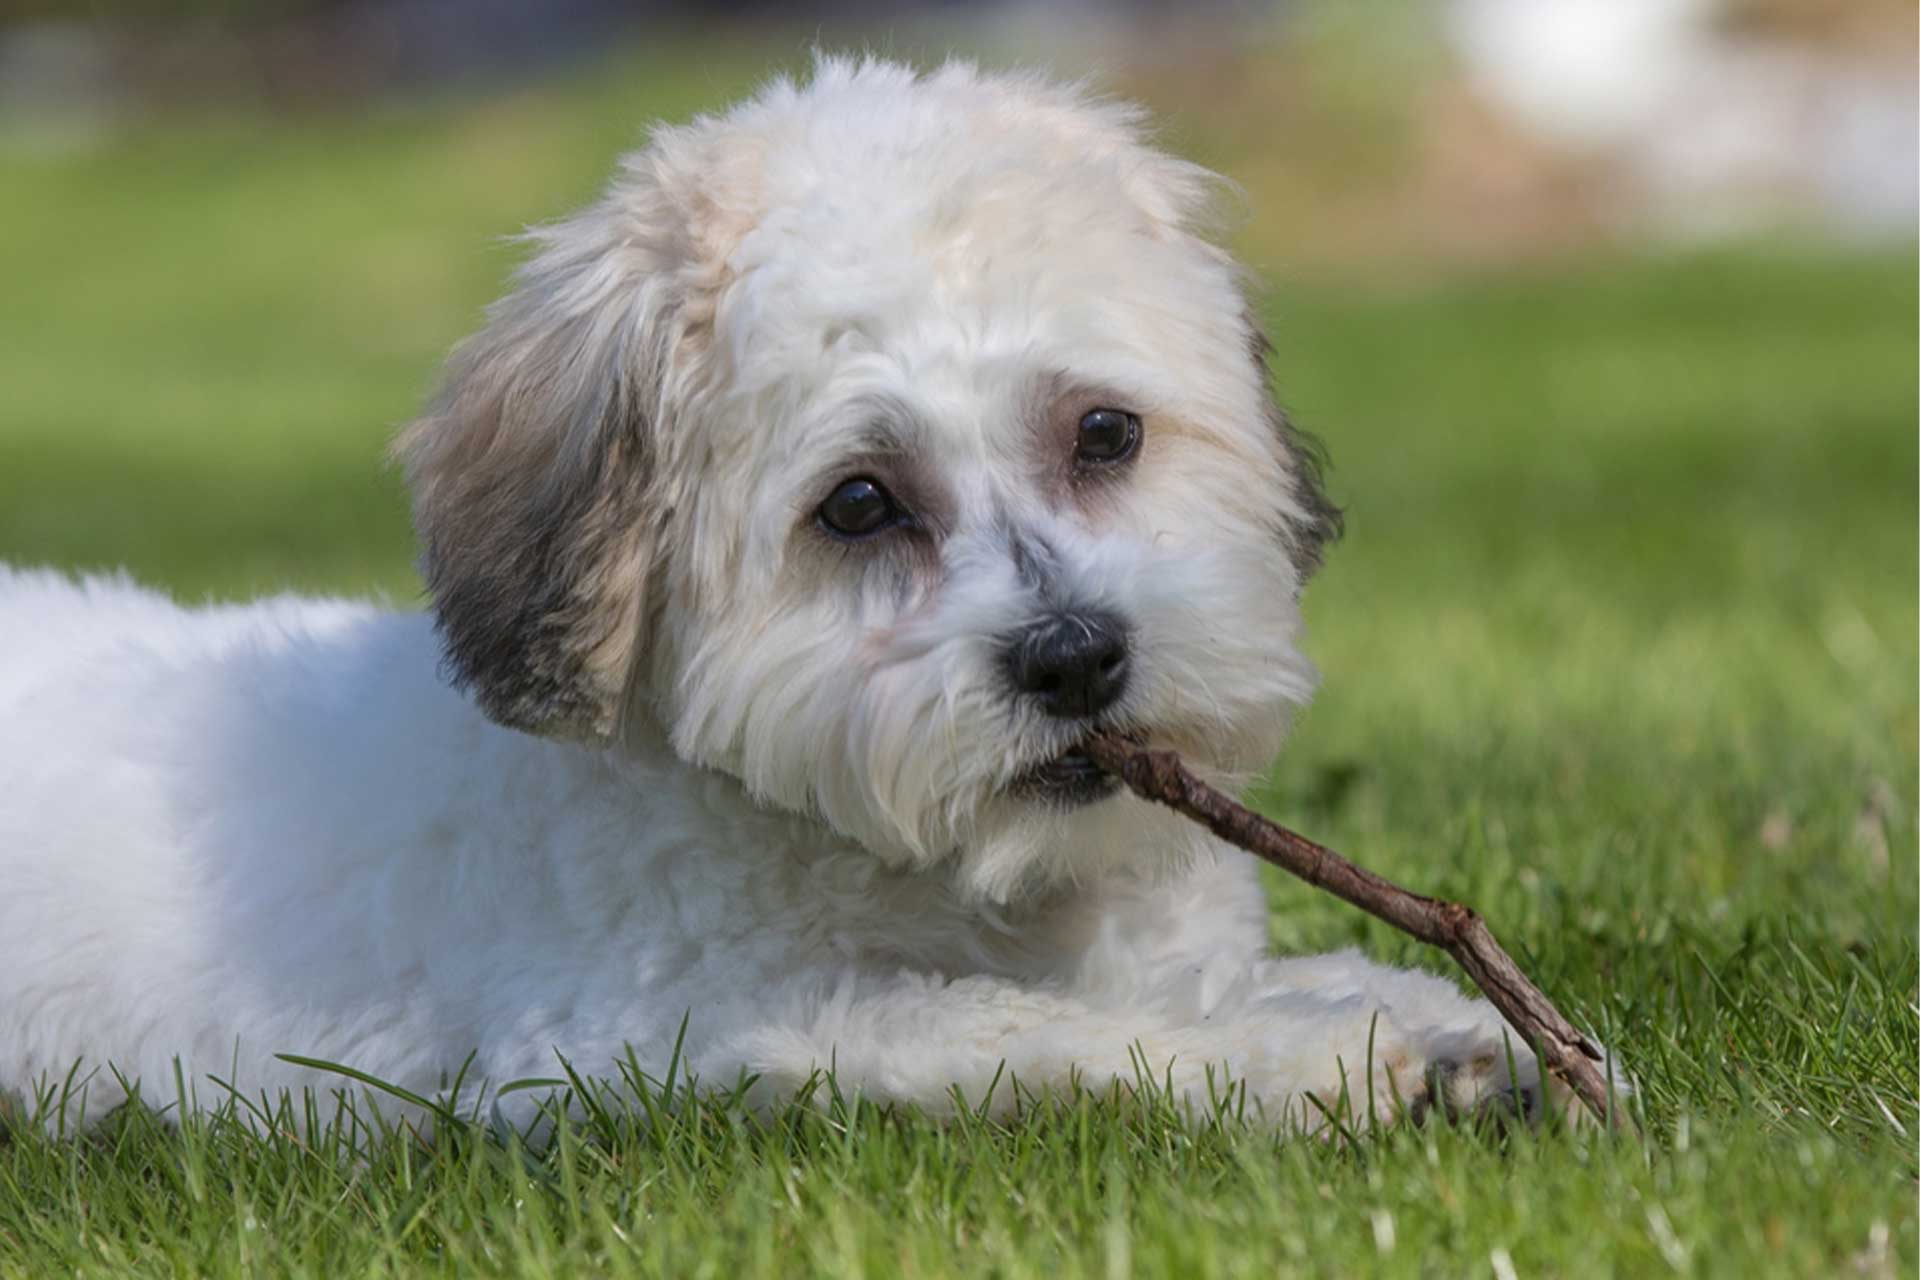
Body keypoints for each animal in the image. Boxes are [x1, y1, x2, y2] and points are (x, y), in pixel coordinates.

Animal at [0, 57, 1597, 1128]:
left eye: (1104, 432)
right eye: (861, 504)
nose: (1076, 657)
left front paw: (1431, 1015)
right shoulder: (668, 1033)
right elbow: (1047, 1033)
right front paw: (1323, 1055)